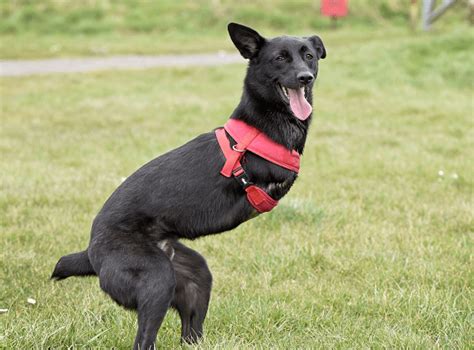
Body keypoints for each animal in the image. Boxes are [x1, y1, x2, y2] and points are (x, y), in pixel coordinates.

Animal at [51, 23, 326, 348]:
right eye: (280, 58)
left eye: (308, 56)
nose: (305, 77)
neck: (261, 128)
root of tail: (91, 251)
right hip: (157, 278)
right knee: (144, 339)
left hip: (194, 277)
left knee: (190, 329)